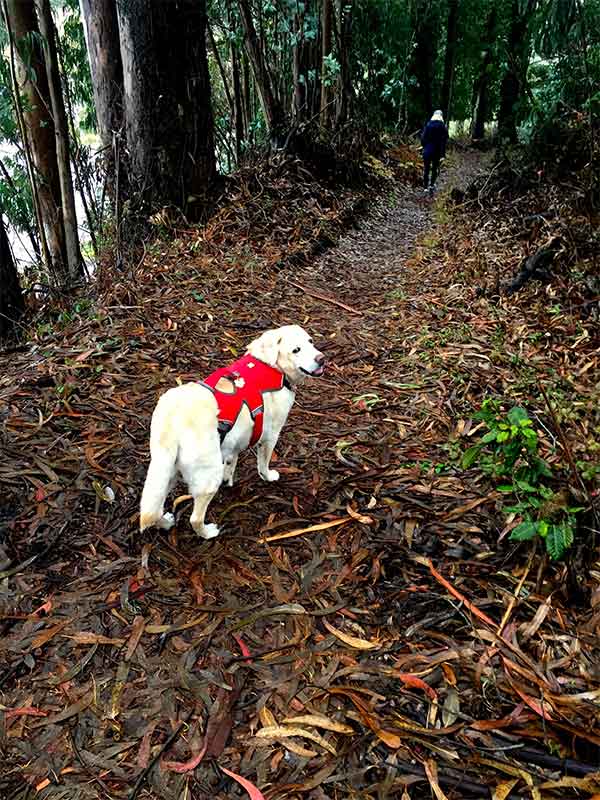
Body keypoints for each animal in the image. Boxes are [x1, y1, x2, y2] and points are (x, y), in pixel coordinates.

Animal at [139, 324, 326, 536]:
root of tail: (173, 421)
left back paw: (166, 522)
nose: (321, 358)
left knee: (153, 511)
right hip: (208, 477)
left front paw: (229, 478)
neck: (270, 366)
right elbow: (263, 464)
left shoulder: (234, 441)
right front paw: (268, 476)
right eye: (296, 350)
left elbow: (231, 460)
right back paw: (208, 532)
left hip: (166, 471)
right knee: (195, 518)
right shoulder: (270, 437)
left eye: (311, 341)